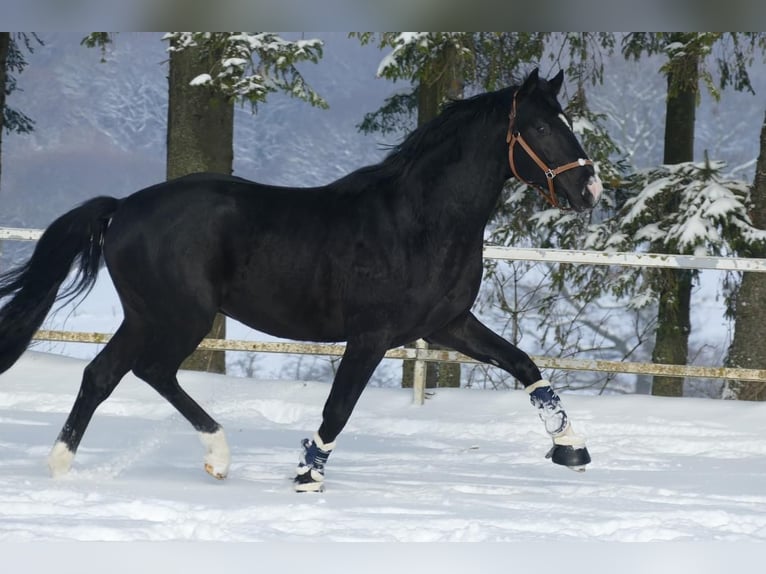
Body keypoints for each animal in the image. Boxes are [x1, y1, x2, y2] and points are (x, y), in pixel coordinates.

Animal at [0, 68, 600, 496]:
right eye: (542, 127)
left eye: (567, 121)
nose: (590, 191)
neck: (421, 221)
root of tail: (122, 207)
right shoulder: (372, 336)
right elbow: (339, 407)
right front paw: (308, 474)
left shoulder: (447, 324)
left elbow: (524, 364)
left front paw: (572, 448)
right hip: (180, 316)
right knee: (151, 370)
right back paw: (218, 456)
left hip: (147, 315)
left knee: (102, 375)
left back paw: (60, 467)